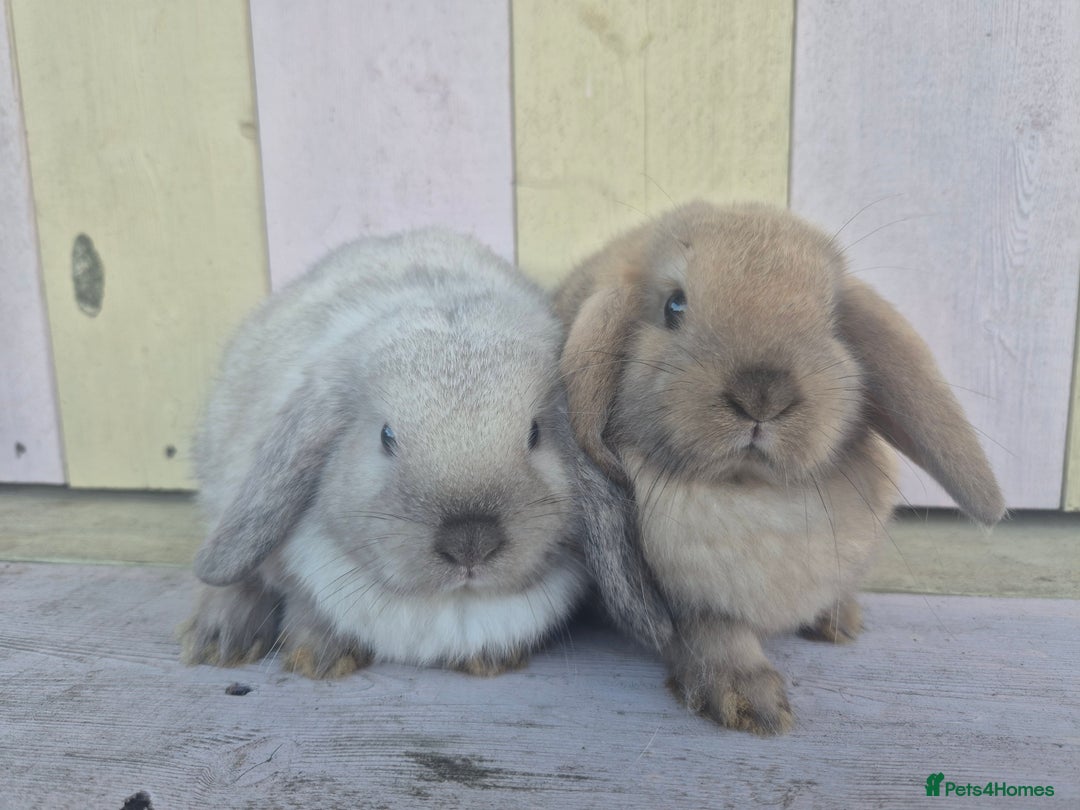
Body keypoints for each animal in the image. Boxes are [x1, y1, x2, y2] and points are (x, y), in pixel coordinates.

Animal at [178, 228, 642, 679]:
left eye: (535, 434)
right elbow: (302, 600)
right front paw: (321, 659)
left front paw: (491, 661)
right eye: (386, 437)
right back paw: (219, 641)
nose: (470, 543)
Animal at [555, 200, 1005, 734]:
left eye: (832, 321)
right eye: (674, 307)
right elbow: (714, 635)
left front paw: (839, 620)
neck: (753, 492)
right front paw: (751, 702)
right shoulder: (693, 606)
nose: (762, 394)